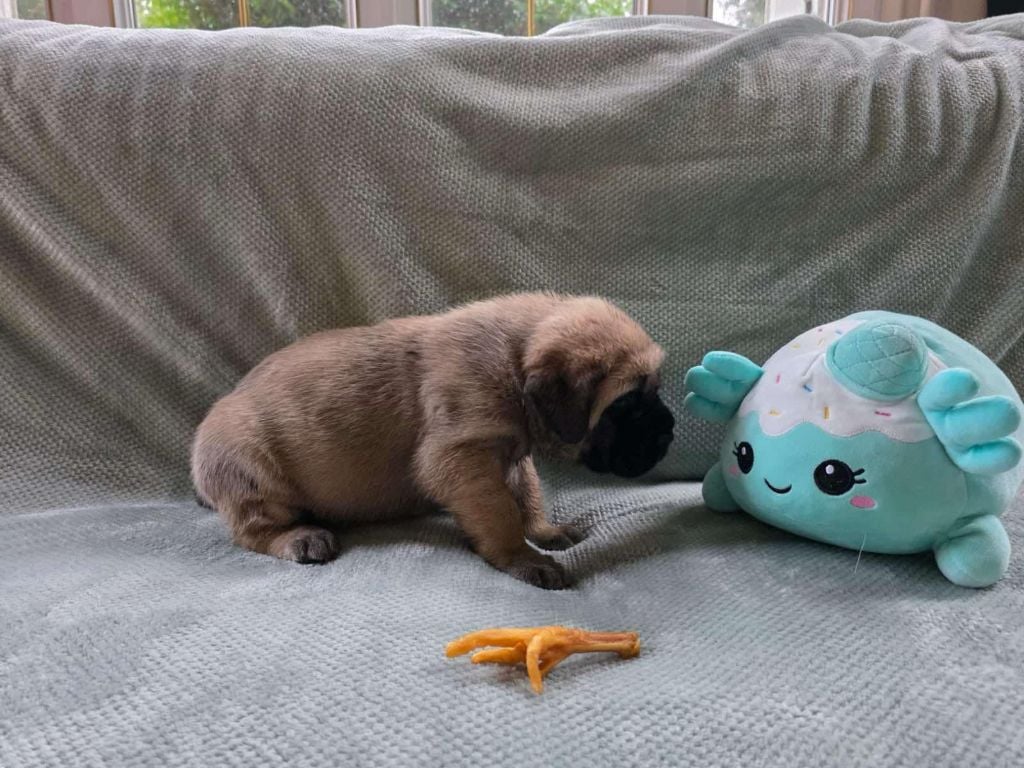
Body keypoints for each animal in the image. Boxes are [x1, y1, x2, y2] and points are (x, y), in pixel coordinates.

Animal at [192, 292, 675, 589]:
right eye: (627, 405)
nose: (669, 431)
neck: (513, 361)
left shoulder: (509, 457)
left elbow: (526, 495)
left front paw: (544, 531)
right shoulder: (463, 456)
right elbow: (501, 511)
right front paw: (521, 556)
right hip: (252, 470)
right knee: (253, 532)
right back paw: (298, 537)